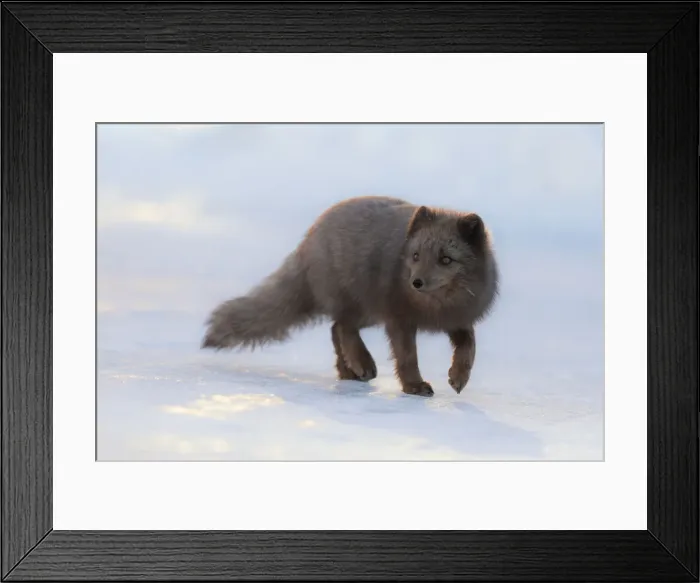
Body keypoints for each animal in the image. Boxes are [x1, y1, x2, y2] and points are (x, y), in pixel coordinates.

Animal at [202, 195, 499, 397]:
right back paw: (362, 365)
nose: (416, 282)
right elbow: (407, 357)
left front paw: (459, 377)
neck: (435, 309)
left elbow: (470, 345)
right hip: (363, 303)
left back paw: (349, 371)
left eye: (446, 259)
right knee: (343, 326)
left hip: (370, 313)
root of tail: (309, 237)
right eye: (416, 255)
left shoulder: (458, 319)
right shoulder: (398, 320)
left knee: (335, 329)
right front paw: (414, 386)